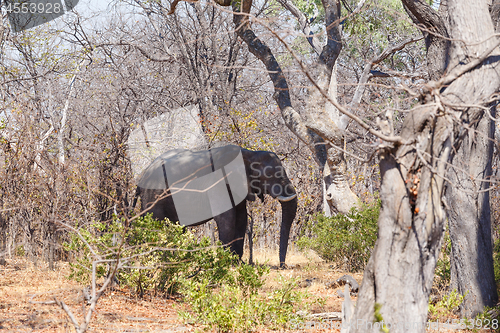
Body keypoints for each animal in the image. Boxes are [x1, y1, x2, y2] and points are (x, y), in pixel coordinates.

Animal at [134, 145, 296, 268]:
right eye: (271, 175)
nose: (283, 266)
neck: (249, 153)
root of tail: (142, 177)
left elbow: (241, 219)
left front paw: (239, 262)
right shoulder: (219, 183)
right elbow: (227, 219)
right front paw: (227, 263)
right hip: (153, 196)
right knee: (156, 223)